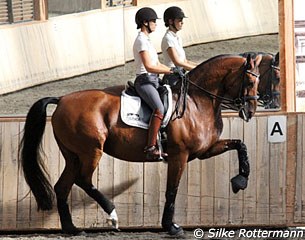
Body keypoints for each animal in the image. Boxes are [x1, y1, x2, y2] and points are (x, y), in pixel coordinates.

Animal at [19, 53, 262, 235]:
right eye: (250, 82)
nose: (250, 112)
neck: (196, 102)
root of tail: (62, 99)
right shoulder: (180, 156)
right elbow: (171, 190)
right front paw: (171, 227)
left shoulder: (204, 150)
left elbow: (241, 145)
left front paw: (240, 181)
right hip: (91, 151)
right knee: (83, 180)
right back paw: (112, 216)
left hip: (73, 155)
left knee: (62, 186)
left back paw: (72, 229)